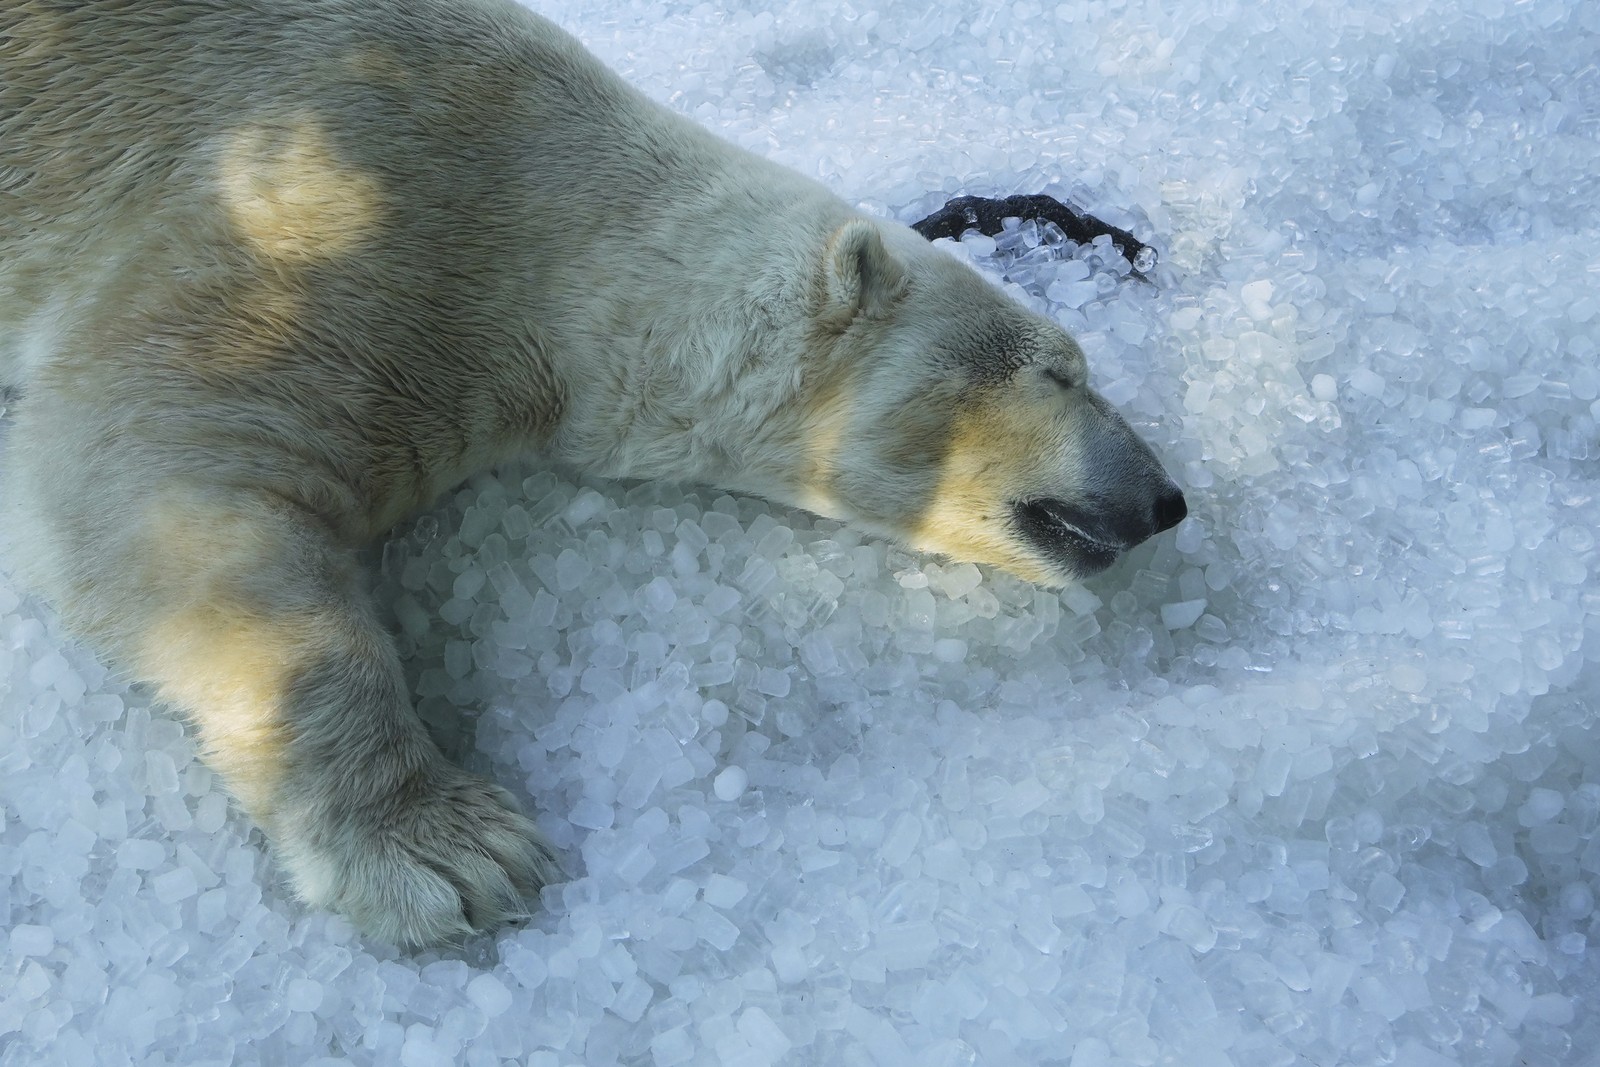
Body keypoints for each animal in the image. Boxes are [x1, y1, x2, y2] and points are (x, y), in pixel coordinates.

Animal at [0, 0, 1186, 945]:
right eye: (1060, 369)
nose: (1166, 500)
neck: (540, 199)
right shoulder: (325, 199)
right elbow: (144, 458)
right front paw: (447, 848)